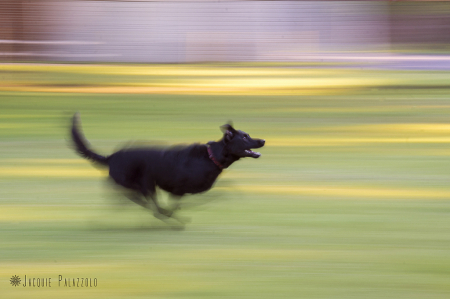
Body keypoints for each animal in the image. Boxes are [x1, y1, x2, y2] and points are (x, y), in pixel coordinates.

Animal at [70, 113, 264, 219]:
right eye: (245, 137)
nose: (263, 140)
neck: (211, 157)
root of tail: (110, 157)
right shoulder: (177, 189)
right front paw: (172, 214)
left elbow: (223, 190)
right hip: (144, 183)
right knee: (148, 204)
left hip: (140, 186)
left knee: (138, 202)